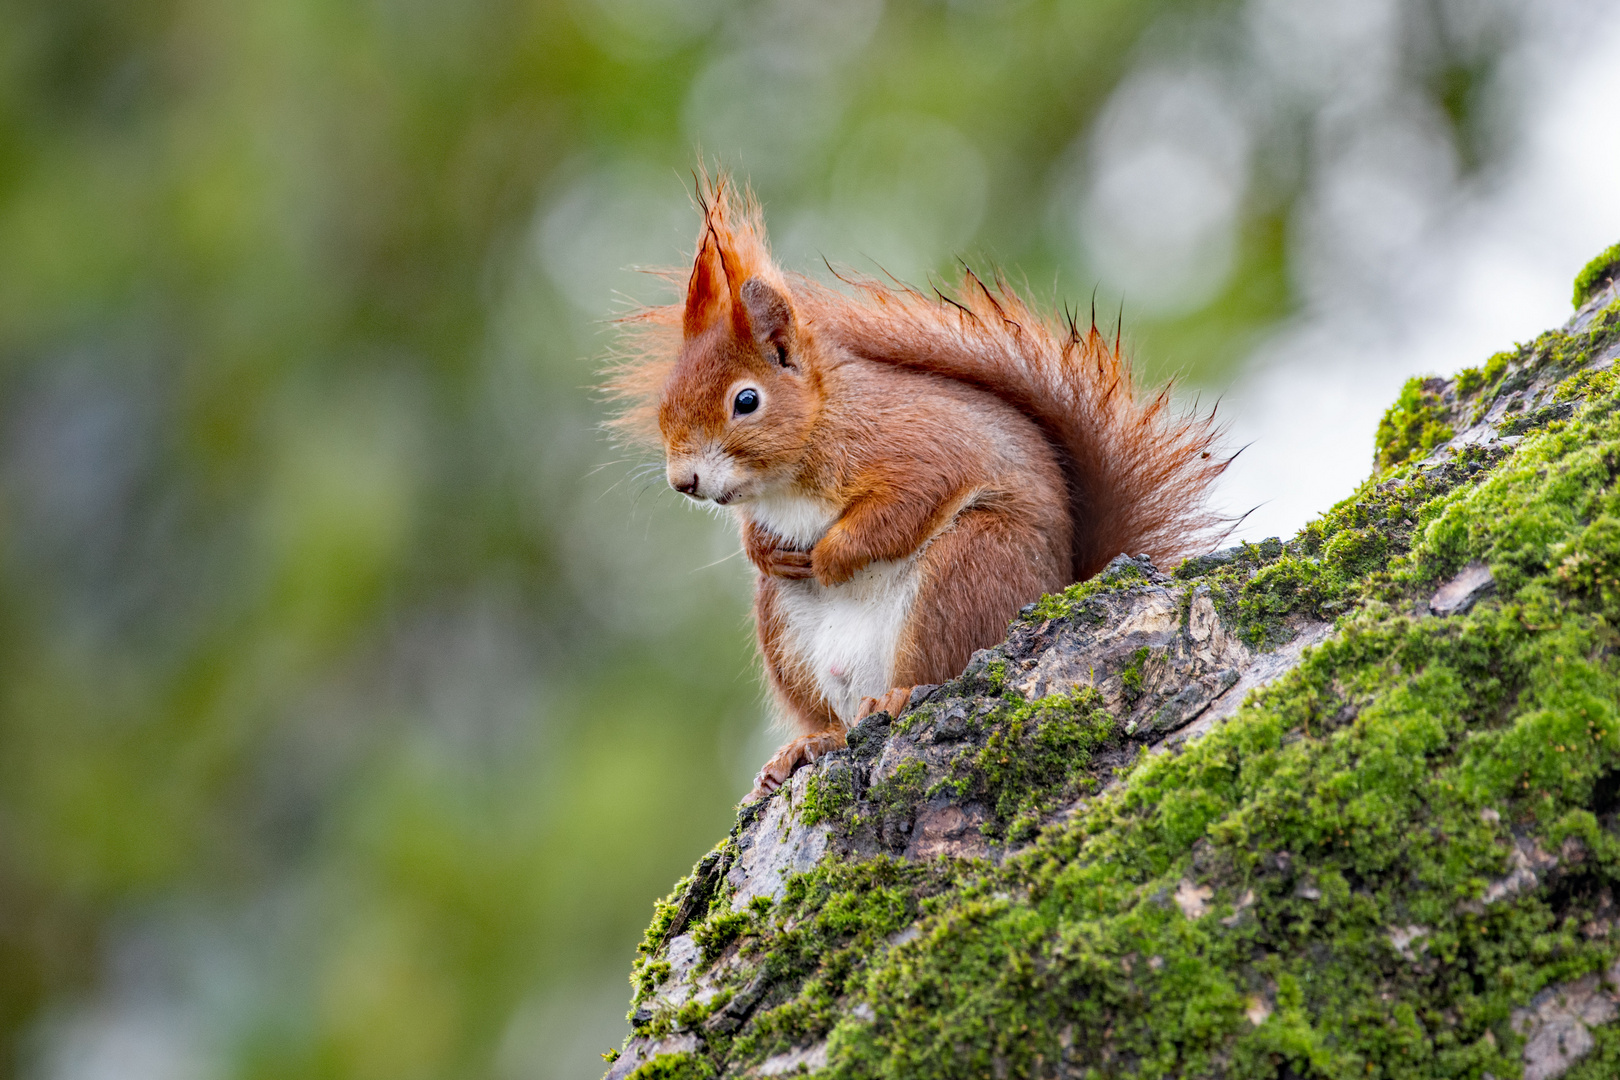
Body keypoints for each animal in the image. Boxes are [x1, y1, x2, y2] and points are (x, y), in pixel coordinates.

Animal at [605, 179, 1218, 803]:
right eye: (666, 402)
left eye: (746, 400)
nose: (684, 481)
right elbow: (760, 536)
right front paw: (767, 551)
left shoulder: (921, 451)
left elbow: (901, 509)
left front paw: (829, 558)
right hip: (786, 631)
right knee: (834, 719)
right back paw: (807, 744)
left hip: (968, 569)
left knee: (933, 671)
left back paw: (896, 697)